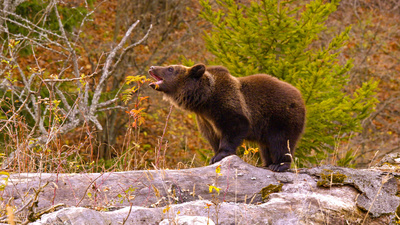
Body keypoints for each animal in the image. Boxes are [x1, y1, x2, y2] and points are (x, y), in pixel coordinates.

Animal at [148, 63, 304, 172]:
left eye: (170, 68)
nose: (152, 67)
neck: (204, 100)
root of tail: (299, 96)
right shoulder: (205, 120)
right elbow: (212, 136)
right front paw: (215, 154)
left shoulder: (226, 105)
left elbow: (234, 127)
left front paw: (219, 155)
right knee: (266, 147)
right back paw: (267, 163)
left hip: (280, 117)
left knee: (281, 141)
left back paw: (279, 165)